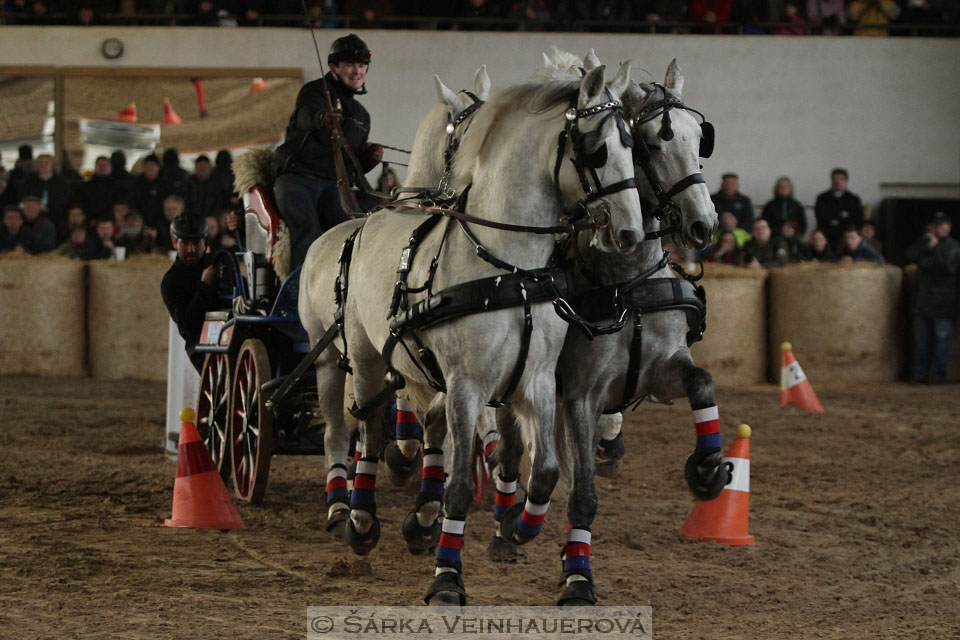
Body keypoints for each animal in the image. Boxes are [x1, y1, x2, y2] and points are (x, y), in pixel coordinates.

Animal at [300, 60, 644, 604]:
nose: (631, 232)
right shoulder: (466, 385)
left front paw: (519, 528)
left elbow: (544, 472)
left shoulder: (536, 380)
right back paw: (358, 518)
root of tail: (369, 221)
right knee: (364, 428)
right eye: (596, 147)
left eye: (634, 144)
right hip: (359, 354)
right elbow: (459, 482)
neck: (509, 268)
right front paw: (446, 576)